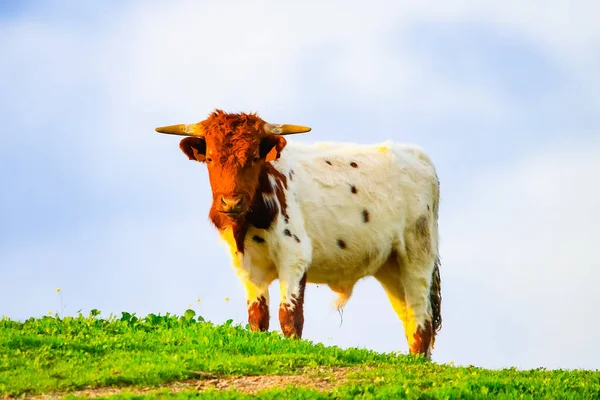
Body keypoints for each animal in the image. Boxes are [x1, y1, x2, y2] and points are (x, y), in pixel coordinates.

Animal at [157, 110, 442, 360]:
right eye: (211, 158)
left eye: (254, 157)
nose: (231, 202)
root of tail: (419, 157)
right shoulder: (247, 266)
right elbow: (258, 318)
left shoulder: (293, 256)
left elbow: (290, 316)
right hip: (390, 267)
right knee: (407, 314)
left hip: (417, 255)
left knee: (421, 316)